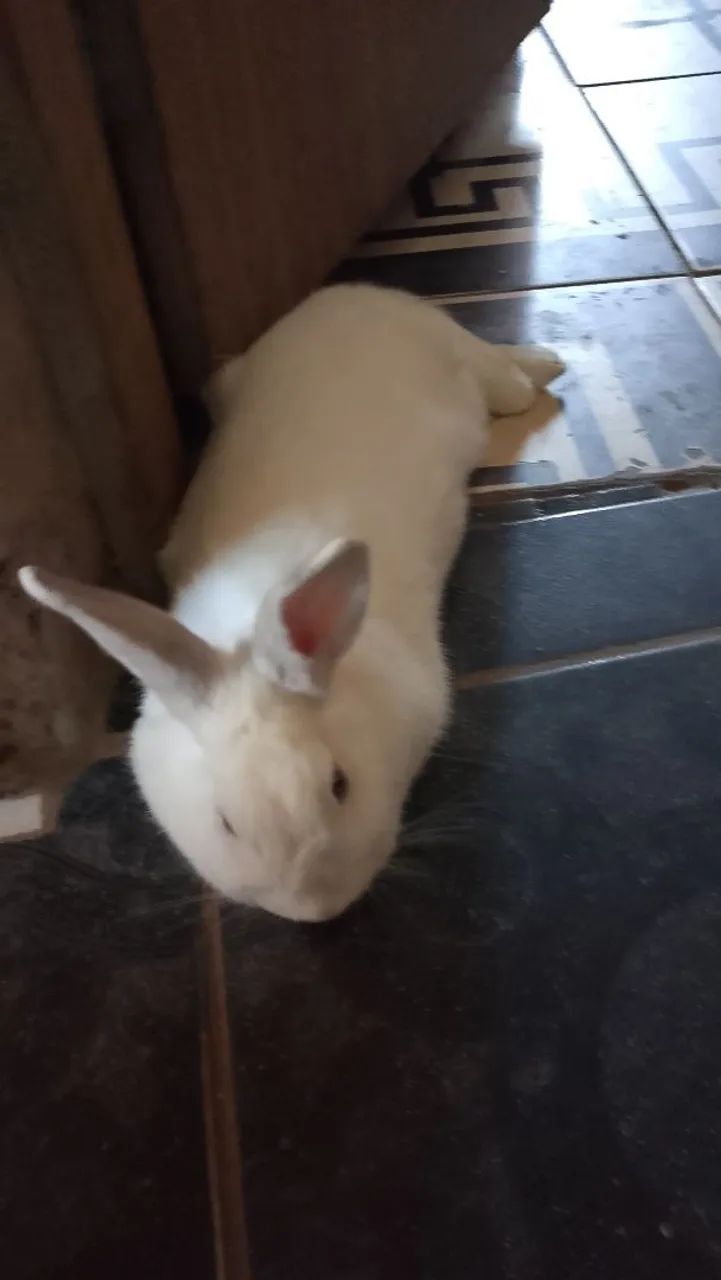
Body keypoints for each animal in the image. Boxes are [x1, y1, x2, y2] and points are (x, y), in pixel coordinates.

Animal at [19, 284, 564, 922]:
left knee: (506, 375)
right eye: (226, 822)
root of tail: (353, 295)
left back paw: (546, 364)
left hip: (462, 357)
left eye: (340, 784)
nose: (318, 910)